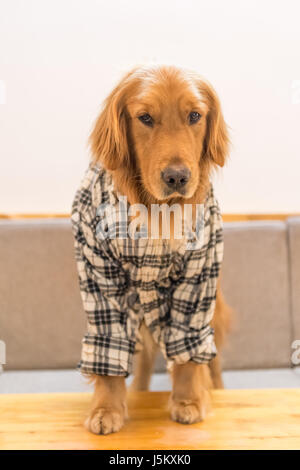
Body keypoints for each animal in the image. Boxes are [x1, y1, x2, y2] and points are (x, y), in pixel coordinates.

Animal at [75, 65, 232, 434]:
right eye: (145, 118)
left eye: (195, 116)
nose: (176, 177)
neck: (157, 212)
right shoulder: (98, 274)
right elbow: (109, 345)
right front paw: (107, 408)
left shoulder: (199, 276)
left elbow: (190, 352)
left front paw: (188, 401)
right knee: (144, 358)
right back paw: (138, 391)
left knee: (213, 357)